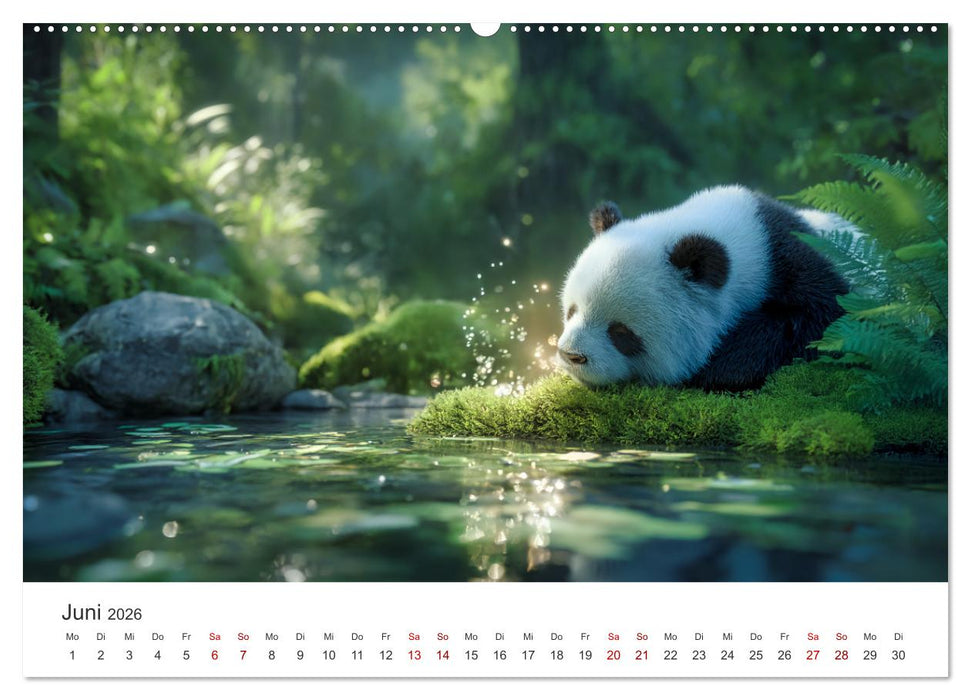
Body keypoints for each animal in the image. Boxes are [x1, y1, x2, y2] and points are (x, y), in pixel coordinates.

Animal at [556, 185, 851, 391]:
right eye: (571, 311)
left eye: (621, 333)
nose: (571, 355)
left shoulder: (796, 264)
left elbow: (822, 320)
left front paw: (720, 367)